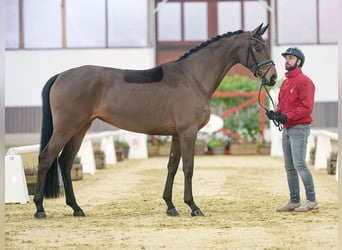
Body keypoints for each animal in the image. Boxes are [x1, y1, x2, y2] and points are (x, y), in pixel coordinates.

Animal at [33, 23, 276, 219]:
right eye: (257, 46)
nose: (272, 77)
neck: (193, 78)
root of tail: (60, 76)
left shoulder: (177, 135)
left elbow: (172, 167)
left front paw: (170, 206)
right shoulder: (188, 133)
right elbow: (188, 167)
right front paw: (193, 206)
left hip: (80, 128)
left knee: (65, 162)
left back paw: (76, 208)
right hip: (66, 128)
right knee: (46, 158)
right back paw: (40, 208)